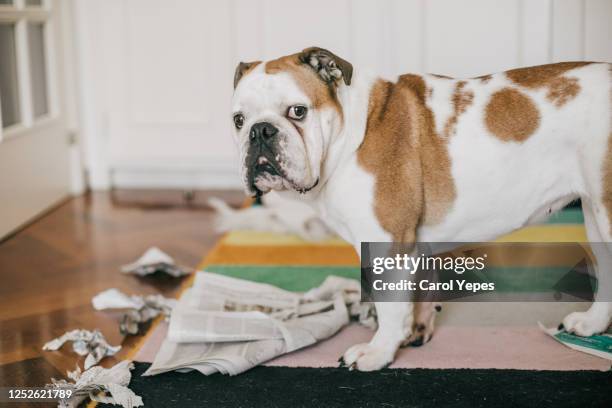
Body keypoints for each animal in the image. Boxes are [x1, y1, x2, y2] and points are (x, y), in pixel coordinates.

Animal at [231, 47, 612, 370]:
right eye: (238, 119)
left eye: (298, 111)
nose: (260, 131)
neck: (350, 135)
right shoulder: (412, 244)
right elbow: (418, 292)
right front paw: (415, 330)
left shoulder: (388, 242)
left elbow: (390, 306)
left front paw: (379, 351)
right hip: (595, 215)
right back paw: (591, 323)